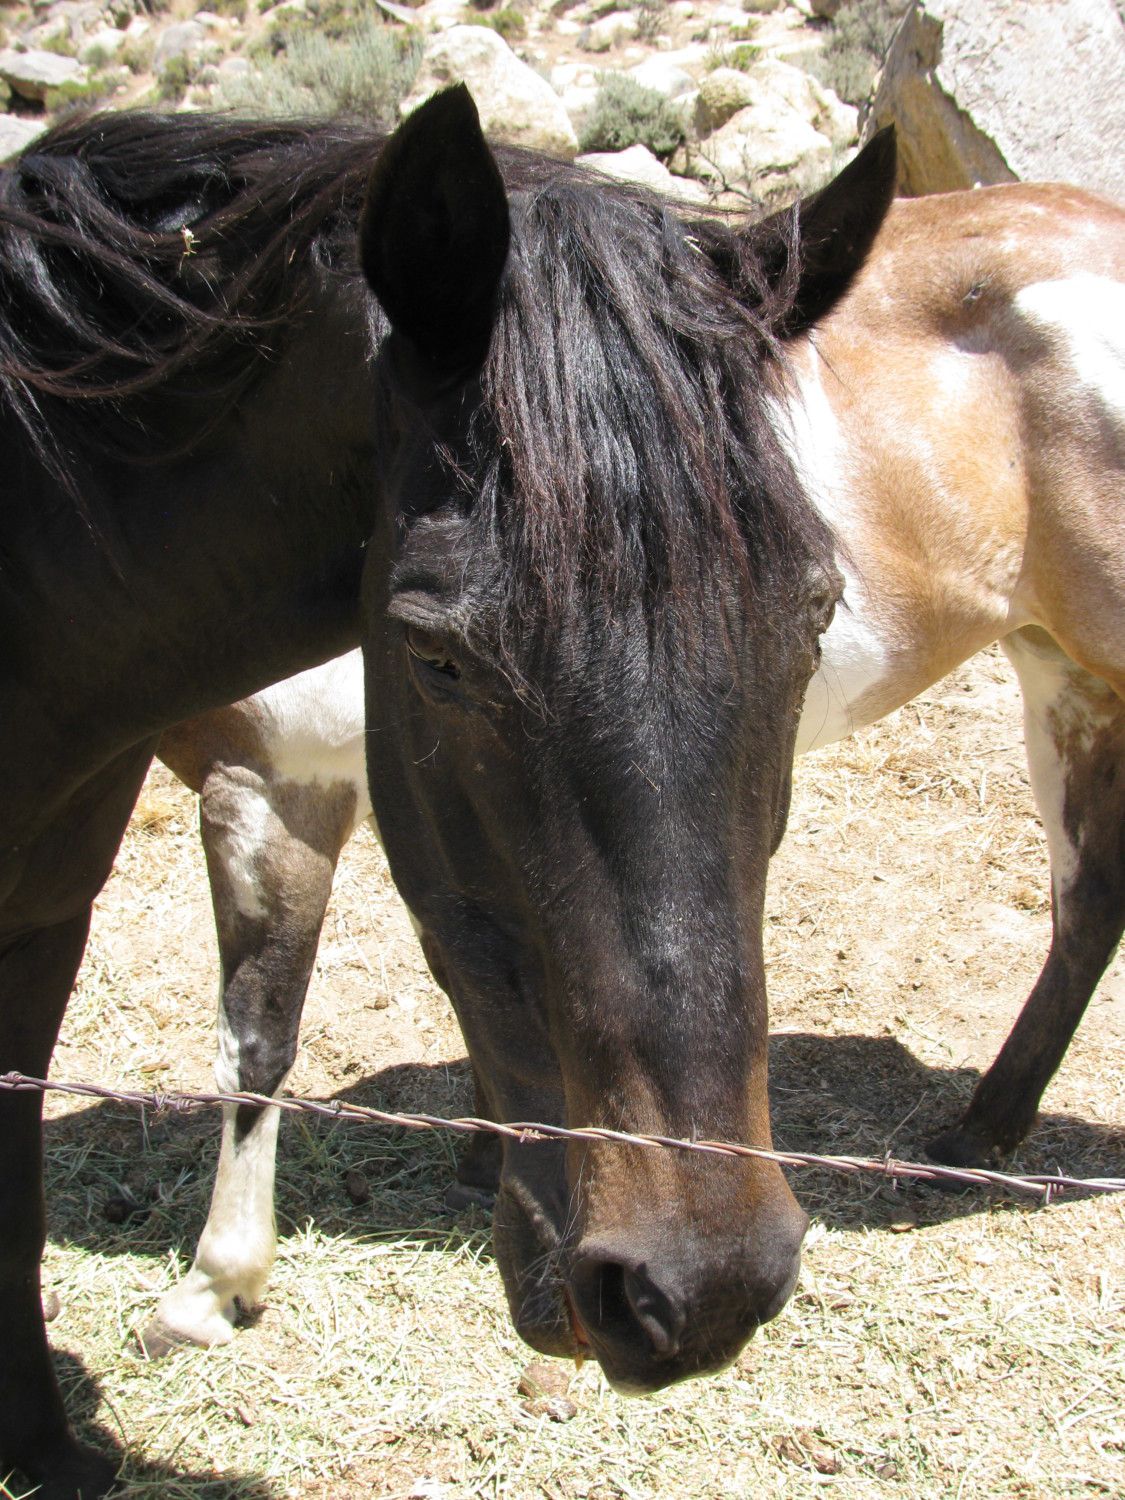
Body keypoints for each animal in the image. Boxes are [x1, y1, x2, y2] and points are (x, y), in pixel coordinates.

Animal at [1, 84, 1121, 1498]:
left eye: (814, 616)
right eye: (435, 655)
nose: (702, 1281)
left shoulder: (273, 789)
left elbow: (257, 1035)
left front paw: (212, 1286)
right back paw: (982, 1129)